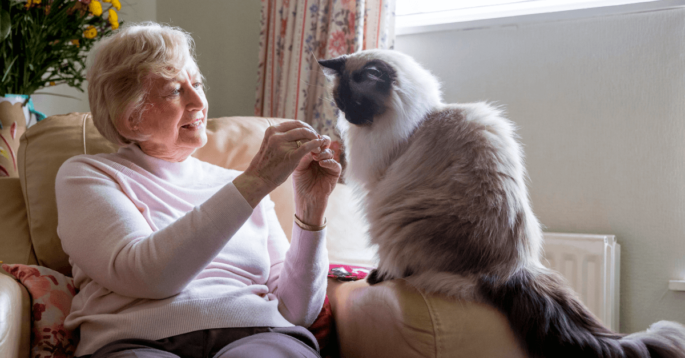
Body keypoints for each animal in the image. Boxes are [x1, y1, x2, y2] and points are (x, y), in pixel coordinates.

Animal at [320, 50, 684, 358]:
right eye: (339, 102)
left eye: (355, 101)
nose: (348, 118)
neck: (420, 117)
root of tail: (512, 269)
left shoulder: (378, 189)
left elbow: (382, 257)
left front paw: (372, 273)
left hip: (392, 220)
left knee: (400, 265)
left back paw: (375, 277)